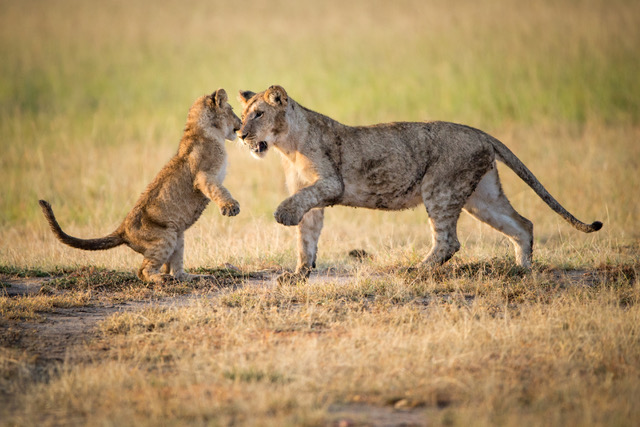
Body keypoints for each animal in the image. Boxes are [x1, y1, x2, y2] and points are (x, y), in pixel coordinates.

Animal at [39, 89, 242, 284]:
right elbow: (219, 190)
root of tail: (122, 230)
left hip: (178, 236)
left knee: (176, 271)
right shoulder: (203, 176)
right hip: (165, 236)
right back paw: (161, 279)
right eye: (232, 110)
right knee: (143, 271)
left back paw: (196, 277)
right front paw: (230, 207)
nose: (240, 123)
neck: (203, 130)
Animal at [238, 85, 604, 286]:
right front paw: (298, 275)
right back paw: (522, 272)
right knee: (522, 224)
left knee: (450, 242)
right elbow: (307, 239)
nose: (240, 135)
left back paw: (416, 271)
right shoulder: (312, 196)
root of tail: (480, 132)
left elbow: (301, 209)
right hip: (482, 196)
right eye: (242, 115)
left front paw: (284, 215)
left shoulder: (330, 183)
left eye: (258, 114)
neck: (288, 145)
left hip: (440, 189)